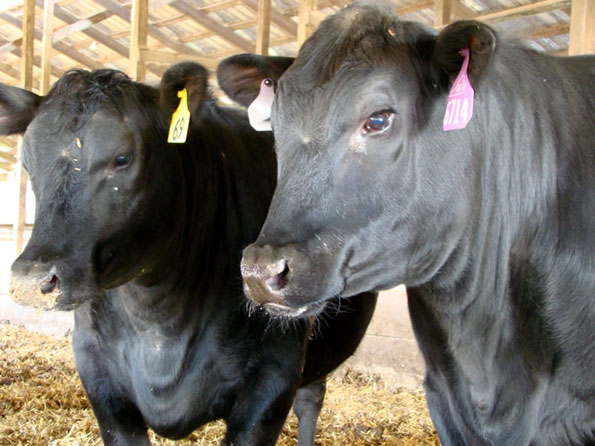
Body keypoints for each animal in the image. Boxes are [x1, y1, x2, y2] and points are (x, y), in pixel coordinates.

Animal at [1, 62, 378, 446]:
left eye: (122, 158)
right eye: (28, 164)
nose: (30, 281)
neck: (158, 324)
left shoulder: (274, 376)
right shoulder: (97, 374)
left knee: (310, 399)